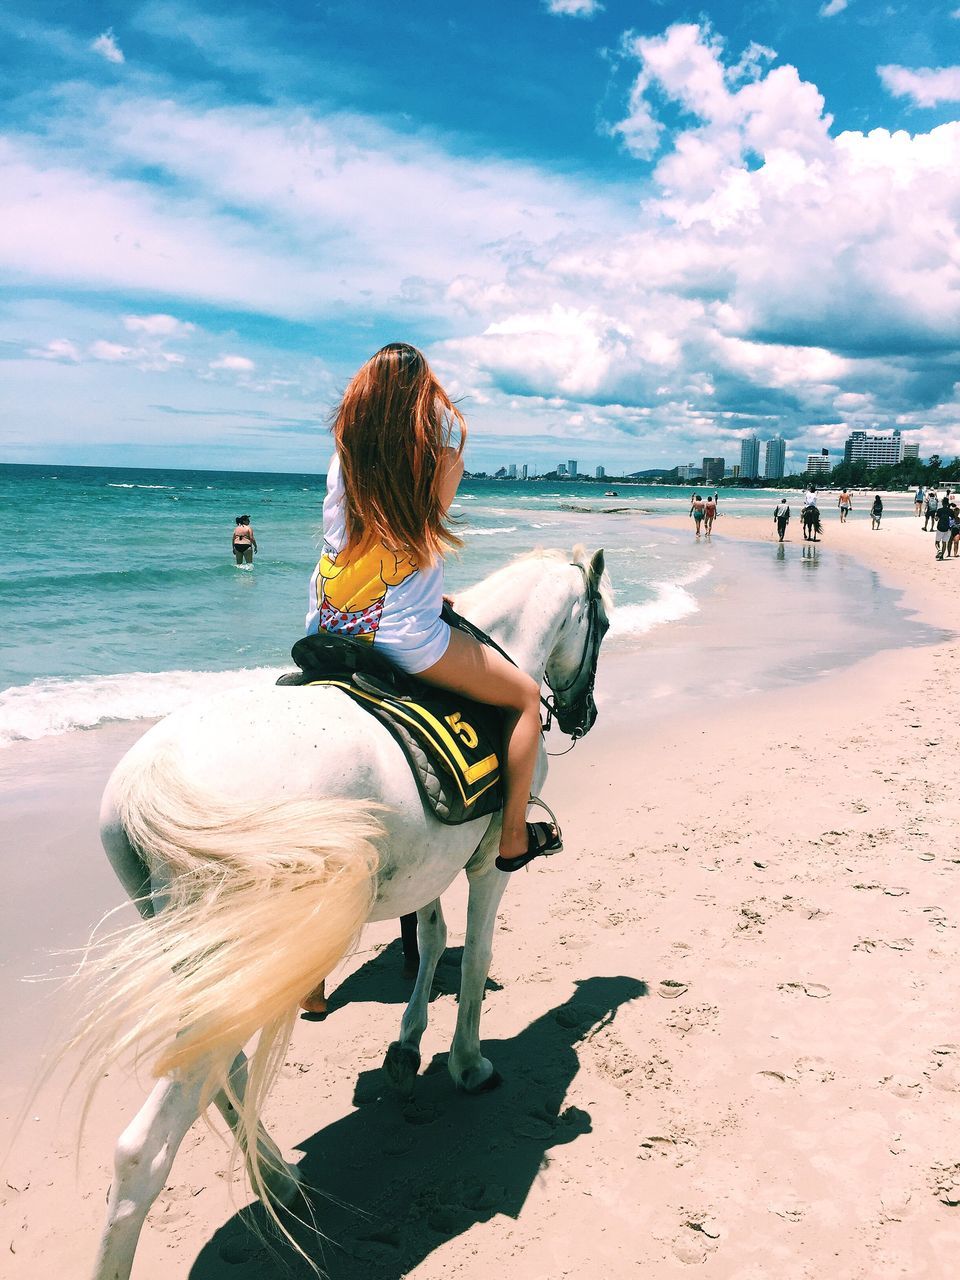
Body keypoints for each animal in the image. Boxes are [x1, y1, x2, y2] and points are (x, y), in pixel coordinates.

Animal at [82, 545, 609, 1274]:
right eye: (604, 625)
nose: (584, 714)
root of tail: (148, 786)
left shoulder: (428, 862)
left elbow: (432, 937)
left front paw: (408, 1047)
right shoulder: (484, 865)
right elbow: (475, 958)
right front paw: (467, 1064)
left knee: (226, 1076)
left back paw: (279, 1176)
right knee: (143, 1152)